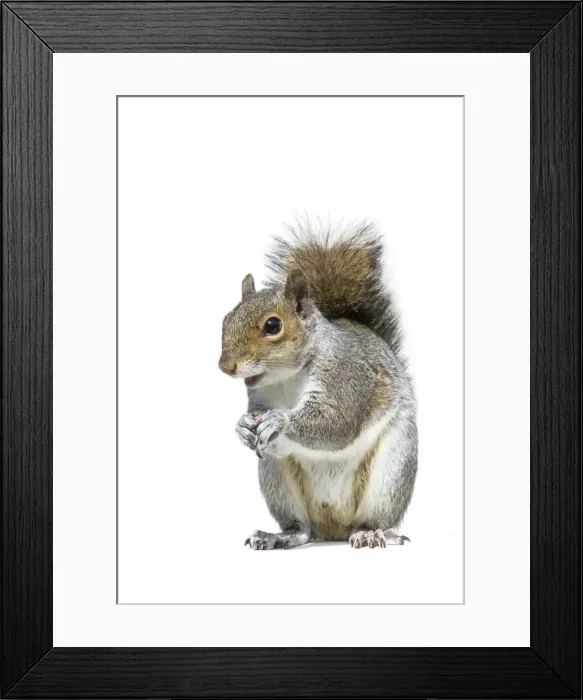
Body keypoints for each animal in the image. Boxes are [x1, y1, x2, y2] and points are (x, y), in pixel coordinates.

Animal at [219, 221, 417, 549]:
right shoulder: (259, 397)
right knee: (302, 529)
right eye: (226, 320)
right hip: (277, 478)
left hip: (391, 473)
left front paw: (279, 420)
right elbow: (255, 414)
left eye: (272, 325)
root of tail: (334, 528)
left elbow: (336, 423)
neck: (287, 376)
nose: (226, 366)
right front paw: (241, 426)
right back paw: (279, 536)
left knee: (375, 518)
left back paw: (371, 533)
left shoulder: (345, 376)